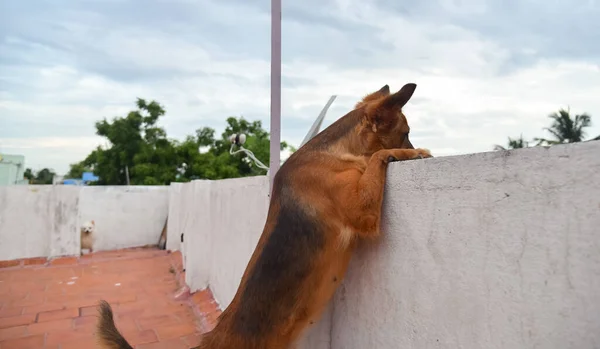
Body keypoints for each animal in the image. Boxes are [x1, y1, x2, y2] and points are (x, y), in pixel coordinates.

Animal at [95, 83, 432, 346]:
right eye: (406, 133)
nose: (414, 143)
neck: (337, 150)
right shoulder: (363, 212)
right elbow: (378, 156)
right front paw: (413, 153)